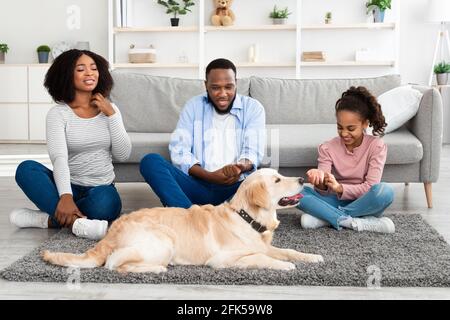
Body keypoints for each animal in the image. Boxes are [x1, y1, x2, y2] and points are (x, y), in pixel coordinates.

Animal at [43, 168, 324, 272]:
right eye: (277, 180)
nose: (302, 179)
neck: (247, 218)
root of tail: (113, 230)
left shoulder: (265, 245)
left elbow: (286, 250)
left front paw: (311, 256)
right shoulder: (223, 259)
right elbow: (260, 258)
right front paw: (284, 266)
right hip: (164, 239)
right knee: (113, 264)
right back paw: (157, 269)